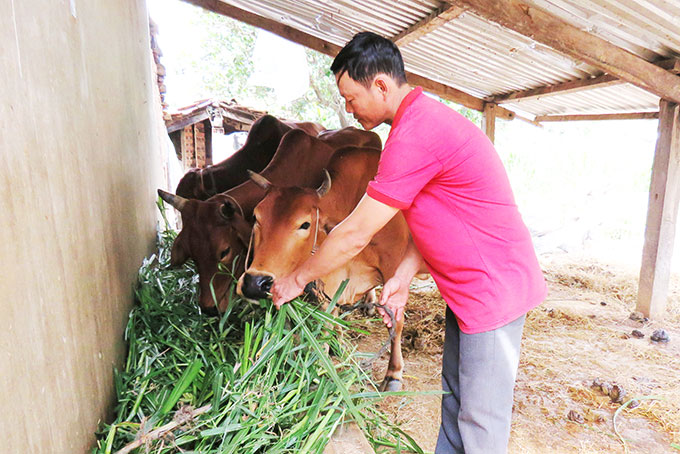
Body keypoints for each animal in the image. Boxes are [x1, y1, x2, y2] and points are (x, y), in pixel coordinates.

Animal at [239, 148, 410, 390]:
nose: (255, 283)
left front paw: (394, 373)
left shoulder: (394, 267)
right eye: (256, 217)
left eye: (305, 224)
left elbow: (396, 322)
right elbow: (329, 318)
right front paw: (332, 351)